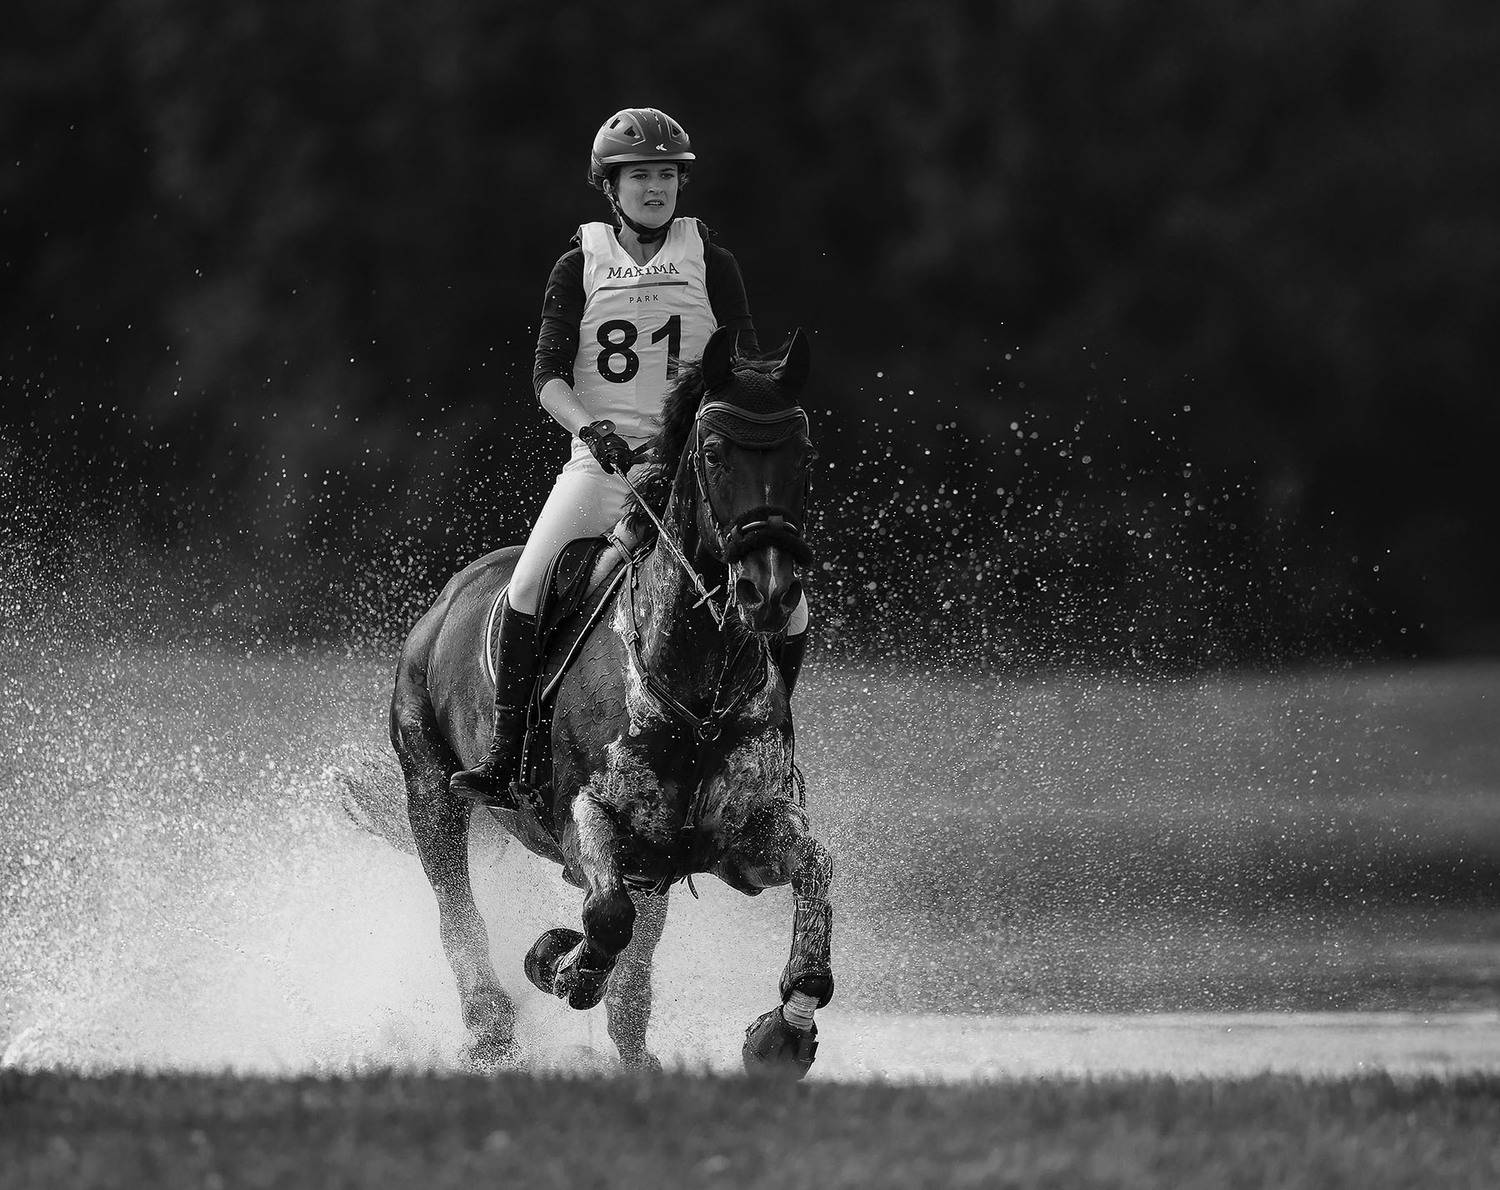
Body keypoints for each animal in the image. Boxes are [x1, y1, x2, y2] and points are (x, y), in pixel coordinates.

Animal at [386, 326, 833, 1078]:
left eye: (803, 453)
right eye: (715, 452)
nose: (769, 592)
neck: (695, 688)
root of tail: (448, 598)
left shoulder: (739, 842)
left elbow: (815, 879)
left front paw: (784, 1032)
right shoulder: (583, 816)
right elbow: (604, 918)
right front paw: (556, 963)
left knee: (635, 956)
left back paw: (634, 1052)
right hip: (430, 786)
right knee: (456, 906)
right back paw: (491, 1026)